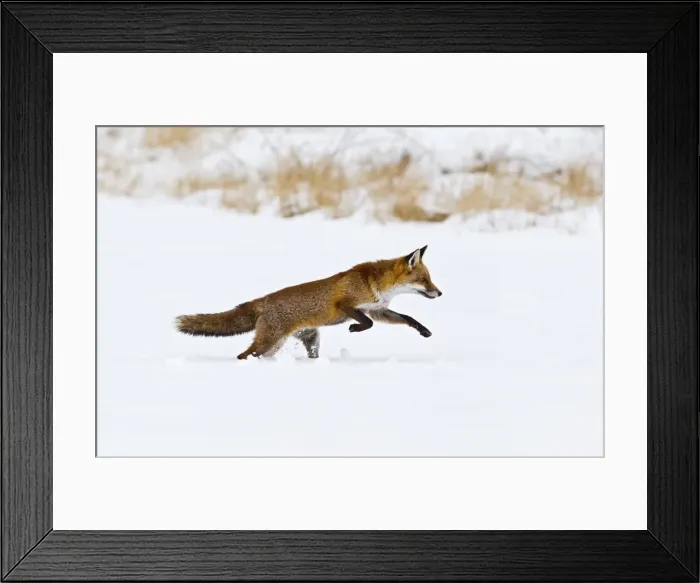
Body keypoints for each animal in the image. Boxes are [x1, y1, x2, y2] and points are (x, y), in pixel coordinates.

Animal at [175, 245, 442, 360]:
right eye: (424, 280)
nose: (439, 293)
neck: (377, 285)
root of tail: (262, 301)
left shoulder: (377, 310)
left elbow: (407, 318)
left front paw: (424, 331)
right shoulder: (346, 305)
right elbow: (367, 324)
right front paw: (353, 328)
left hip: (307, 340)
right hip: (268, 342)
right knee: (244, 354)